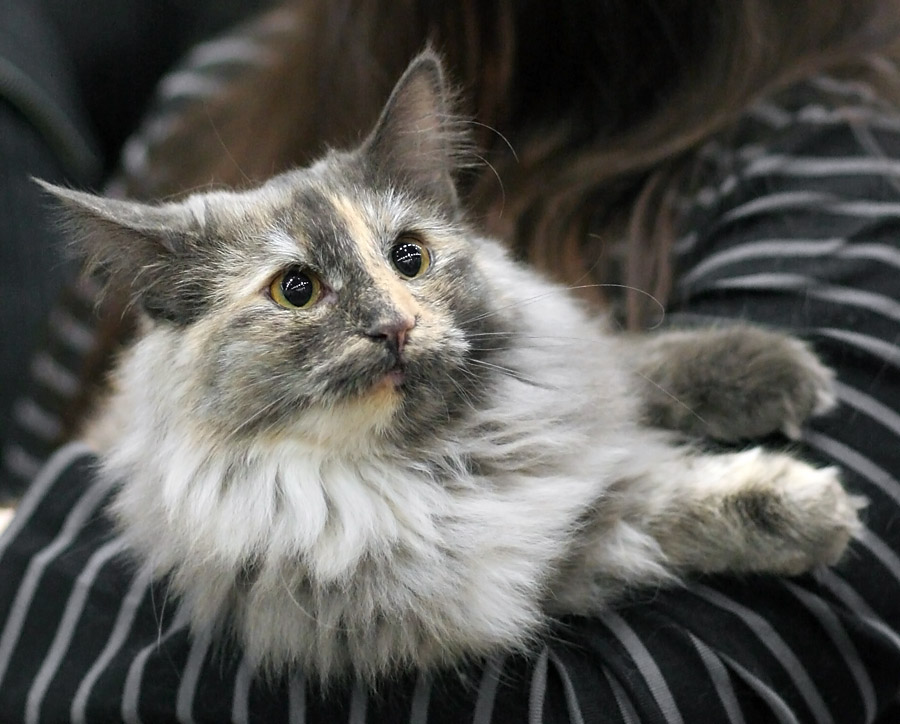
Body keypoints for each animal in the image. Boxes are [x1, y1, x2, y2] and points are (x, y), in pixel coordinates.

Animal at [44, 53, 864, 680]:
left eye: (409, 256)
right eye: (296, 290)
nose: (394, 326)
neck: (445, 462)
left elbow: (628, 369)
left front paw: (779, 375)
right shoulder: (519, 570)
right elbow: (657, 503)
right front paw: (807, 507)